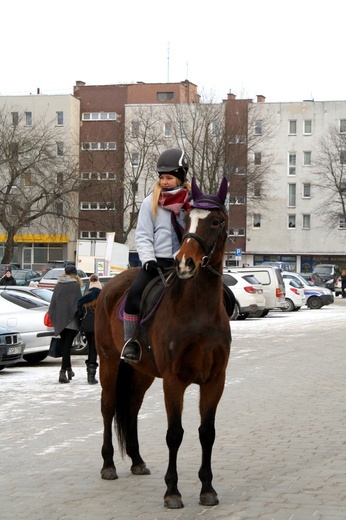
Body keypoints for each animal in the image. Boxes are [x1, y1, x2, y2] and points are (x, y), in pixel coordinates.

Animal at [94, 178, 232, 508]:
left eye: (215, 221)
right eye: (187, 219)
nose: (184, 263)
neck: (198, 311)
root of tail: (108, 287)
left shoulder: (215, 380)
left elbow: (207, 432)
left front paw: (207, 488)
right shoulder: (174, 380)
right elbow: (174, 434)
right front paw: (172, 491)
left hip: (141, 371)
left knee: (131, 407)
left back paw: (136, 460)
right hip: (108, 362)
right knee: (108, 407)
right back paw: (108, 465)